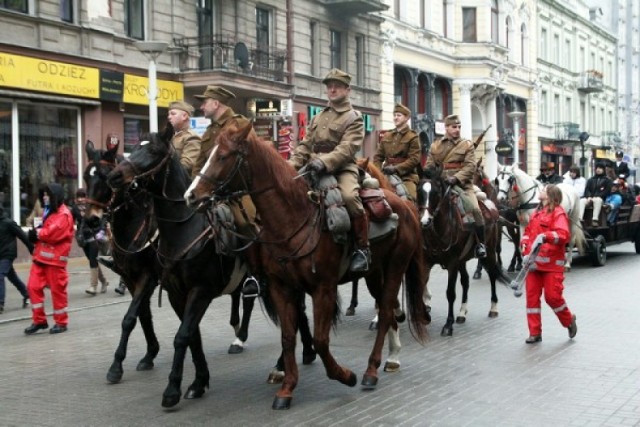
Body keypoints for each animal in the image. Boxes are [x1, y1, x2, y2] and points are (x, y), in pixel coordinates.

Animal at [82, 140, 161, 384]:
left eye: (107, 177)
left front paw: (116, 366)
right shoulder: (130, 276)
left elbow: (129, 318)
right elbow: (142, 314)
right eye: (86, 177)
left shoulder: (149, 276)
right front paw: (150, 353)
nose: (91, 220)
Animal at [182, 119, 428, 412]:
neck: (293, 218)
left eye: (222, 156)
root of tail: (405, 206)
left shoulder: (324, 288)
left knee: (387, 312)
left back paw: (371, 371)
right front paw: (287, 387)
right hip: (373, 274)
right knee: (386, 310)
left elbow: (321, 341)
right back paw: (390, 356)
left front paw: (345, 376)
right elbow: (288, 336)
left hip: (394, 268)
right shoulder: (281, 287)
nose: (190, 195)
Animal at [420, 166, 510, 336]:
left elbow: (450, 293)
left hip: (489, 253)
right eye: (418, 191)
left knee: (492, 275)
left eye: (435, 193)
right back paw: (462, 313)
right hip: (463, 260)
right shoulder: (426, 262)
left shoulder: (452, 263)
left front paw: (448, 324)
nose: (425, 221)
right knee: (466, 281)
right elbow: (420, 287)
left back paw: (493, 308)